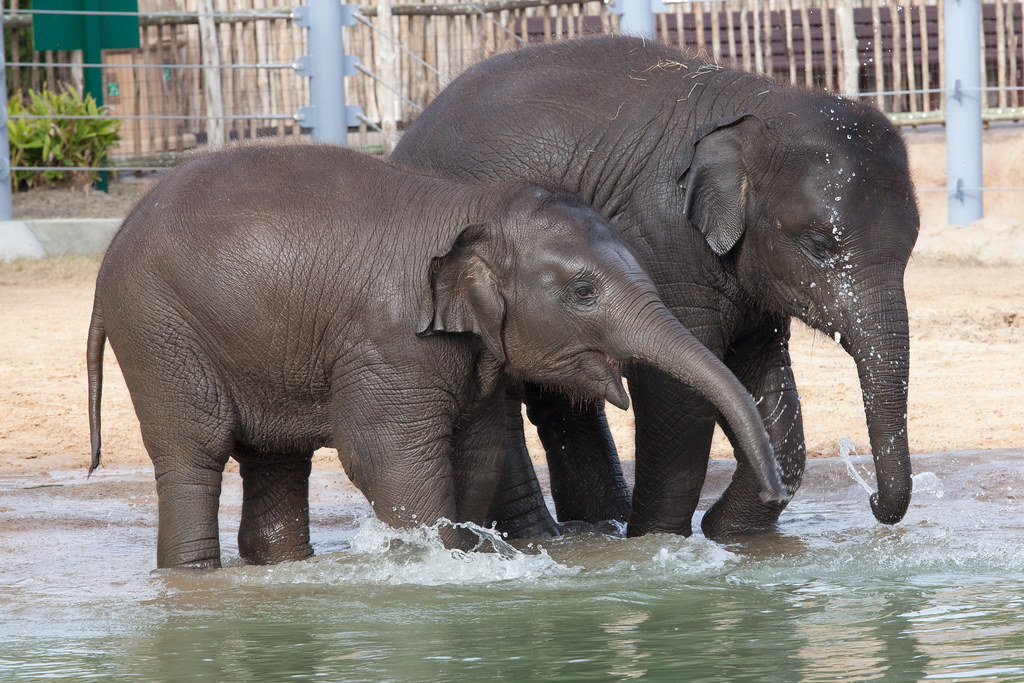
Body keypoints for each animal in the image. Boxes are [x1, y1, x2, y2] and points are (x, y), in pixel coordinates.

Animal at [86, 143, 788, 569]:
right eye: (584, 291)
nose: (775, 488)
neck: (473, 208)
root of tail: (111, 247)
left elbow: (476, 451)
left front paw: (460, 559)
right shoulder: (389, 341)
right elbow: (386, 455)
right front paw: (429, 568)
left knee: (276, 457)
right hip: (160, 331)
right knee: (194, 452)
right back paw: (194, 578)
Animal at [391, 34, 920, 539]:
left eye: (911, 249)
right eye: (819, 246)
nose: (873, 501)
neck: (758, 106)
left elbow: (762, 379)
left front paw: (729, 532)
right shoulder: (661, 239)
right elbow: (679, 396)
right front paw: (658, 541)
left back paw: (595, 528)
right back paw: (553, 536)